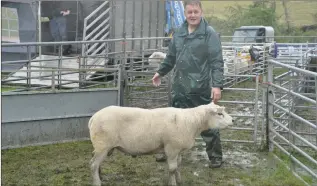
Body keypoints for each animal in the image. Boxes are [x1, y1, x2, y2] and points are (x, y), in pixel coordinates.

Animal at [87, 102, 231, 185]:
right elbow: (172, 169)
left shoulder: (178, 149)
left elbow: (178, 166)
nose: (232, 121)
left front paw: (179, 180)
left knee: (95, 163)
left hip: (101, 147)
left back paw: (100, 177)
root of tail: (93, 117)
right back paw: (97, 182)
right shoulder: (171, 148)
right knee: (93, 165)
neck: (192, 122)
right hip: (102, 145)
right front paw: (173, 183)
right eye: (220, 114)